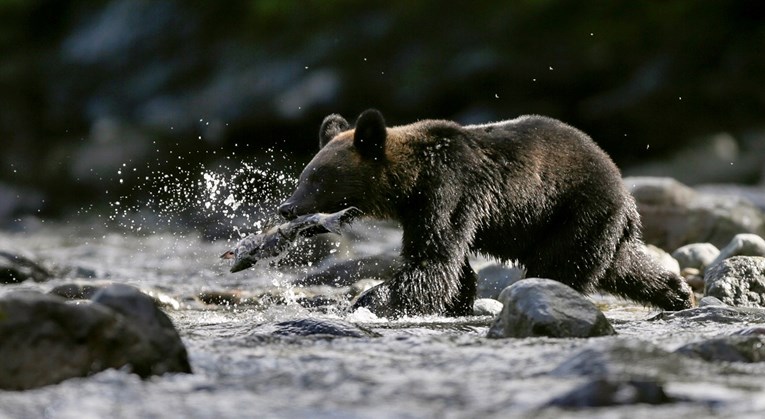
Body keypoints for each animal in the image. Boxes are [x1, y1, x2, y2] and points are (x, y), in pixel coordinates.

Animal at [278, 110, 696, 316]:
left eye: (318, 178)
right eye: (304, 175)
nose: (287, 207)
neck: (411, 183)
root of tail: (624, 191)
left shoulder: (450, 191)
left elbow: (433, 260)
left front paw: (368, 302)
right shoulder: (427, 210)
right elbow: (453, 266)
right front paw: (457, 303)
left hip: (575, 212)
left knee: (559, 268)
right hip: (592, 227)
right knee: (622, 266)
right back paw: (678, 294)